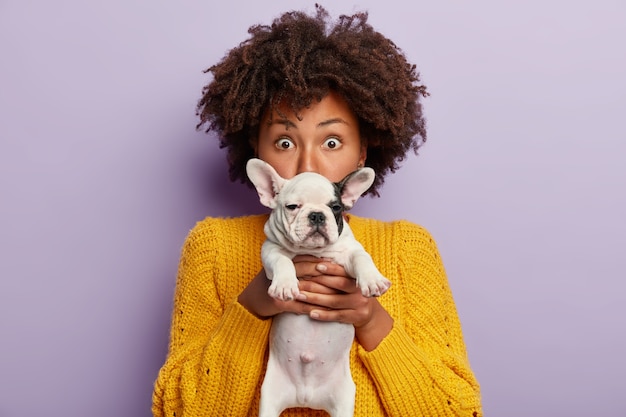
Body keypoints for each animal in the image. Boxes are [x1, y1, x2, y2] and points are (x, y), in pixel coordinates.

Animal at [245, 158, 388, 416]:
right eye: (292, 206)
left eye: (336, 207)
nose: (317, 215)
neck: (313, 252)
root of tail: (305, 397)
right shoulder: (270, 249)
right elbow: (282, 261)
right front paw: (285, 286)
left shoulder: (349, 251)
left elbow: (362, 257)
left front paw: (373, 279)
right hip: (269, 399)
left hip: (343, 401)